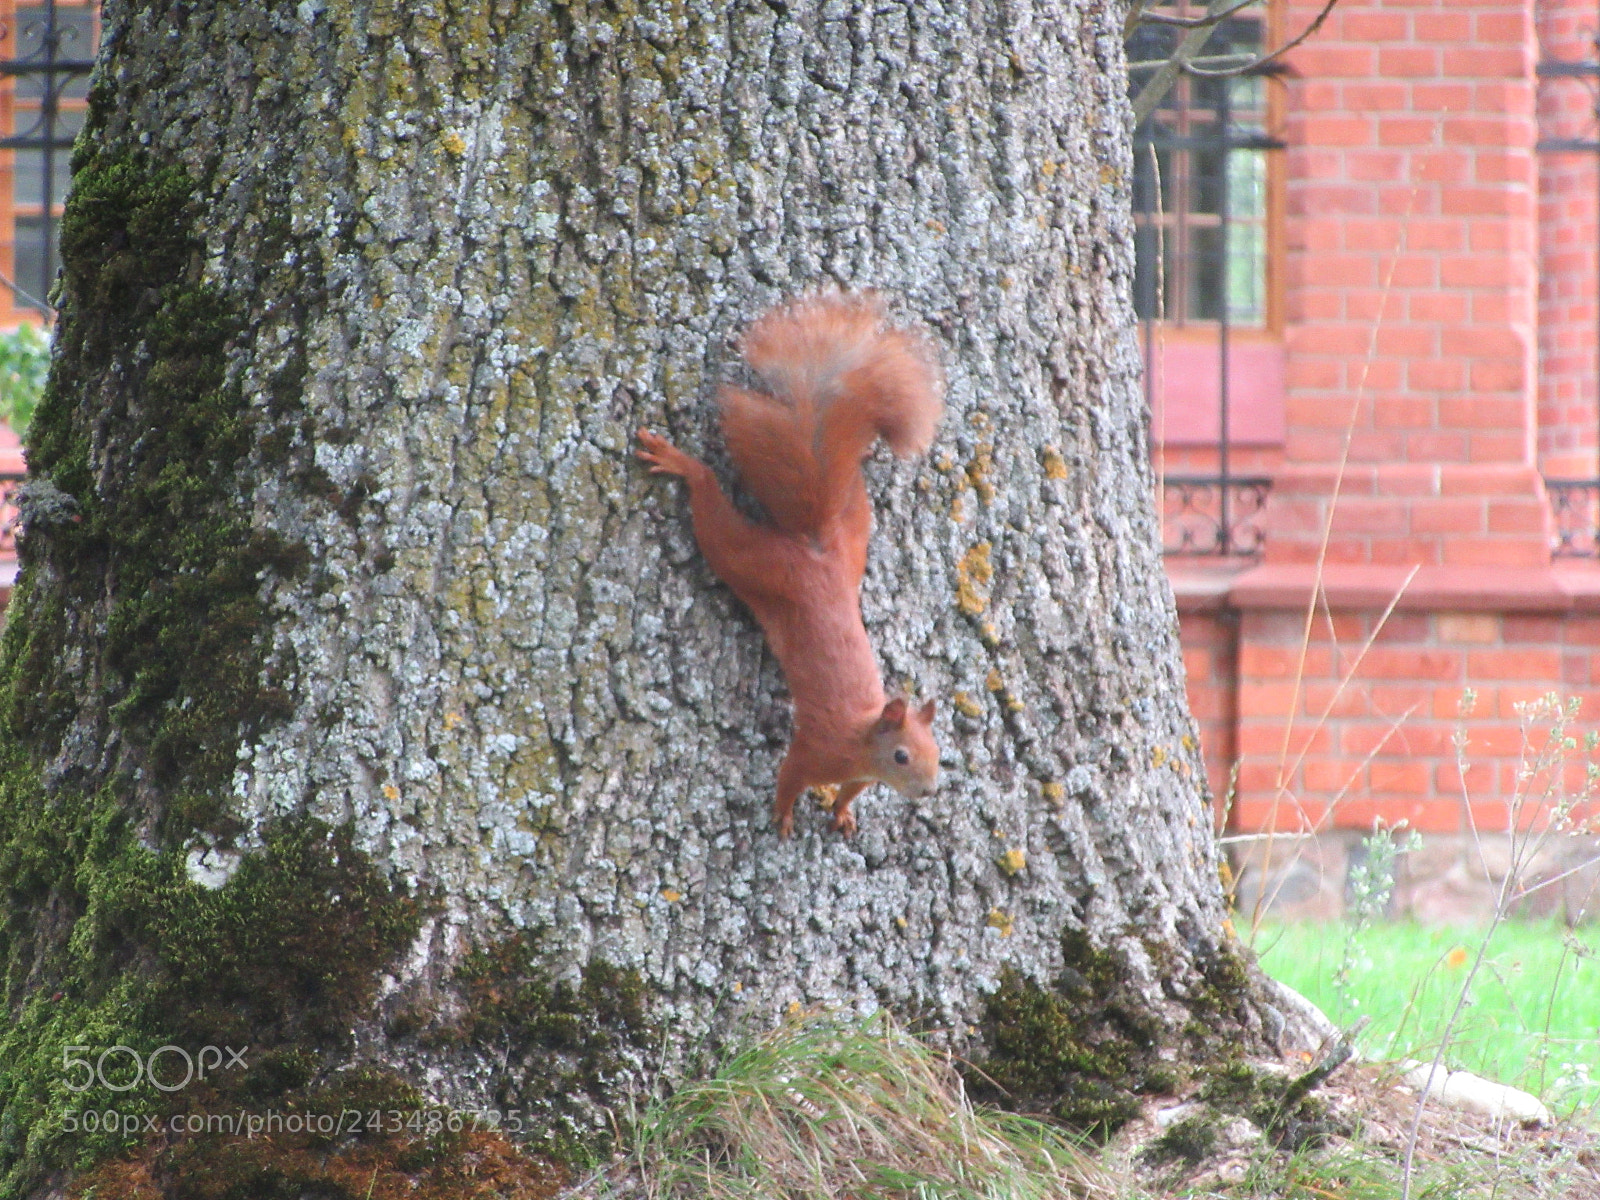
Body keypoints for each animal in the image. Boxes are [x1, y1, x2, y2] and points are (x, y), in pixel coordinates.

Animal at [637, 292, 943, 839]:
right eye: (903, 756)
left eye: (940, 754)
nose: (930, 791)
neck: (861, 745)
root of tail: (814, 545)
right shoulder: (814, 751)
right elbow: (789, 778)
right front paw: (783, 815)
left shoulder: (859, 776)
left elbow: (849, 793)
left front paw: (842, 813)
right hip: (751, 560)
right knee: (713, 515)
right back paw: (682, 465)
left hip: (853, 538)